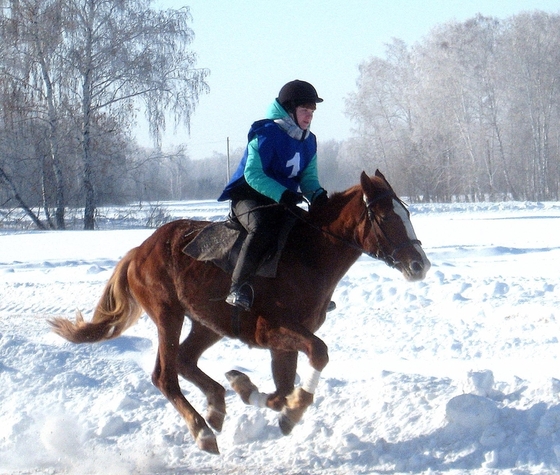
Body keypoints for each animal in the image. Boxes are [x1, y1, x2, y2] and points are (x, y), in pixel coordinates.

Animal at [49, 170, 434, 454]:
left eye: (407, 213)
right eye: (384, 216)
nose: (420, 264)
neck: (309, 256)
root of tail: (138, 251)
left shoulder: (284, 341)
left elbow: (282, 389)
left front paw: (253, 391)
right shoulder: (271, 330)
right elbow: (318, 354)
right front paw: (292, 407)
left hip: (208, 323)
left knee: (186, 360)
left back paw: (217, 405)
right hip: (168, 314)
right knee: (165, 375)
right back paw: (202, 431)